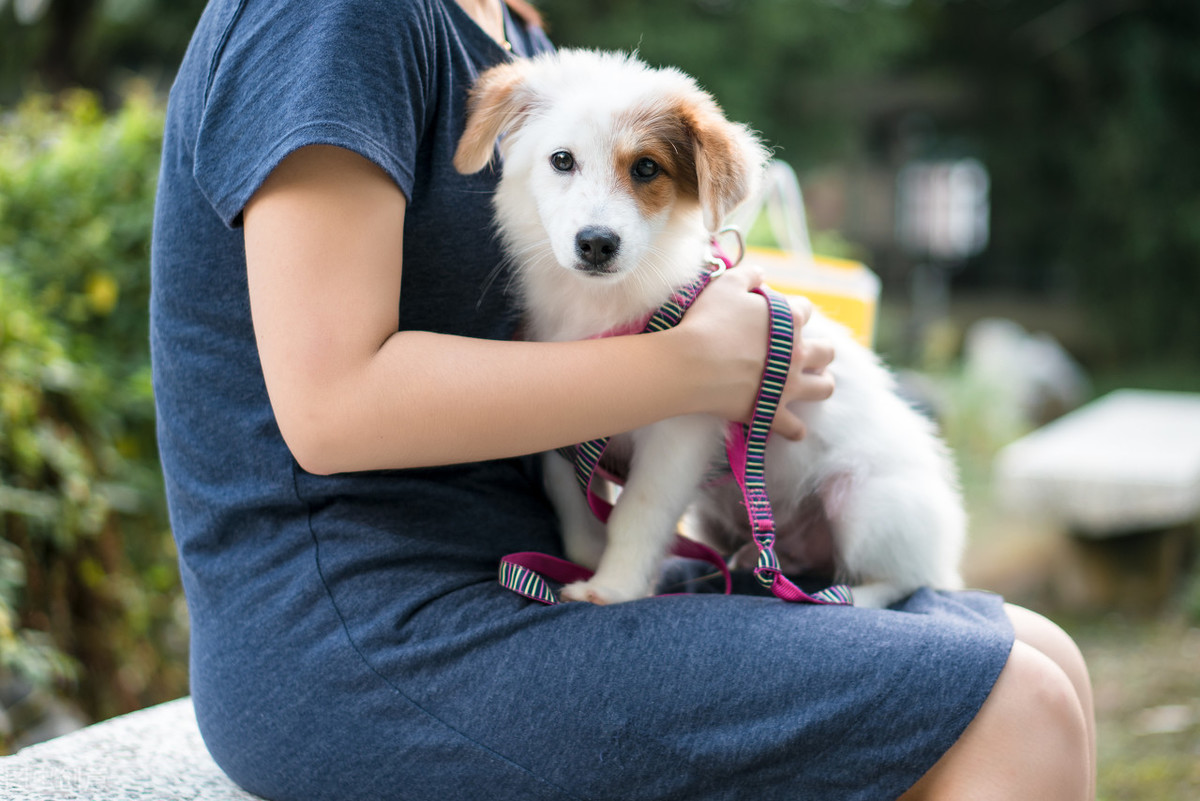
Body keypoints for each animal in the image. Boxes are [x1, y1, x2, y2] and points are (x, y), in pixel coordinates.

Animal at [451, 50, 964, 606]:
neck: (601, 304)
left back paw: (848, 600)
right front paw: (585, 561)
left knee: (906, 579)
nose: (596, 243)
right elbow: (573, 503)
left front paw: (613, 587)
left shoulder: (680, 433)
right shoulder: (560, 424)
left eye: (647, 167)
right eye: (562, 160)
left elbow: (639, 511)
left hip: (869, 503)